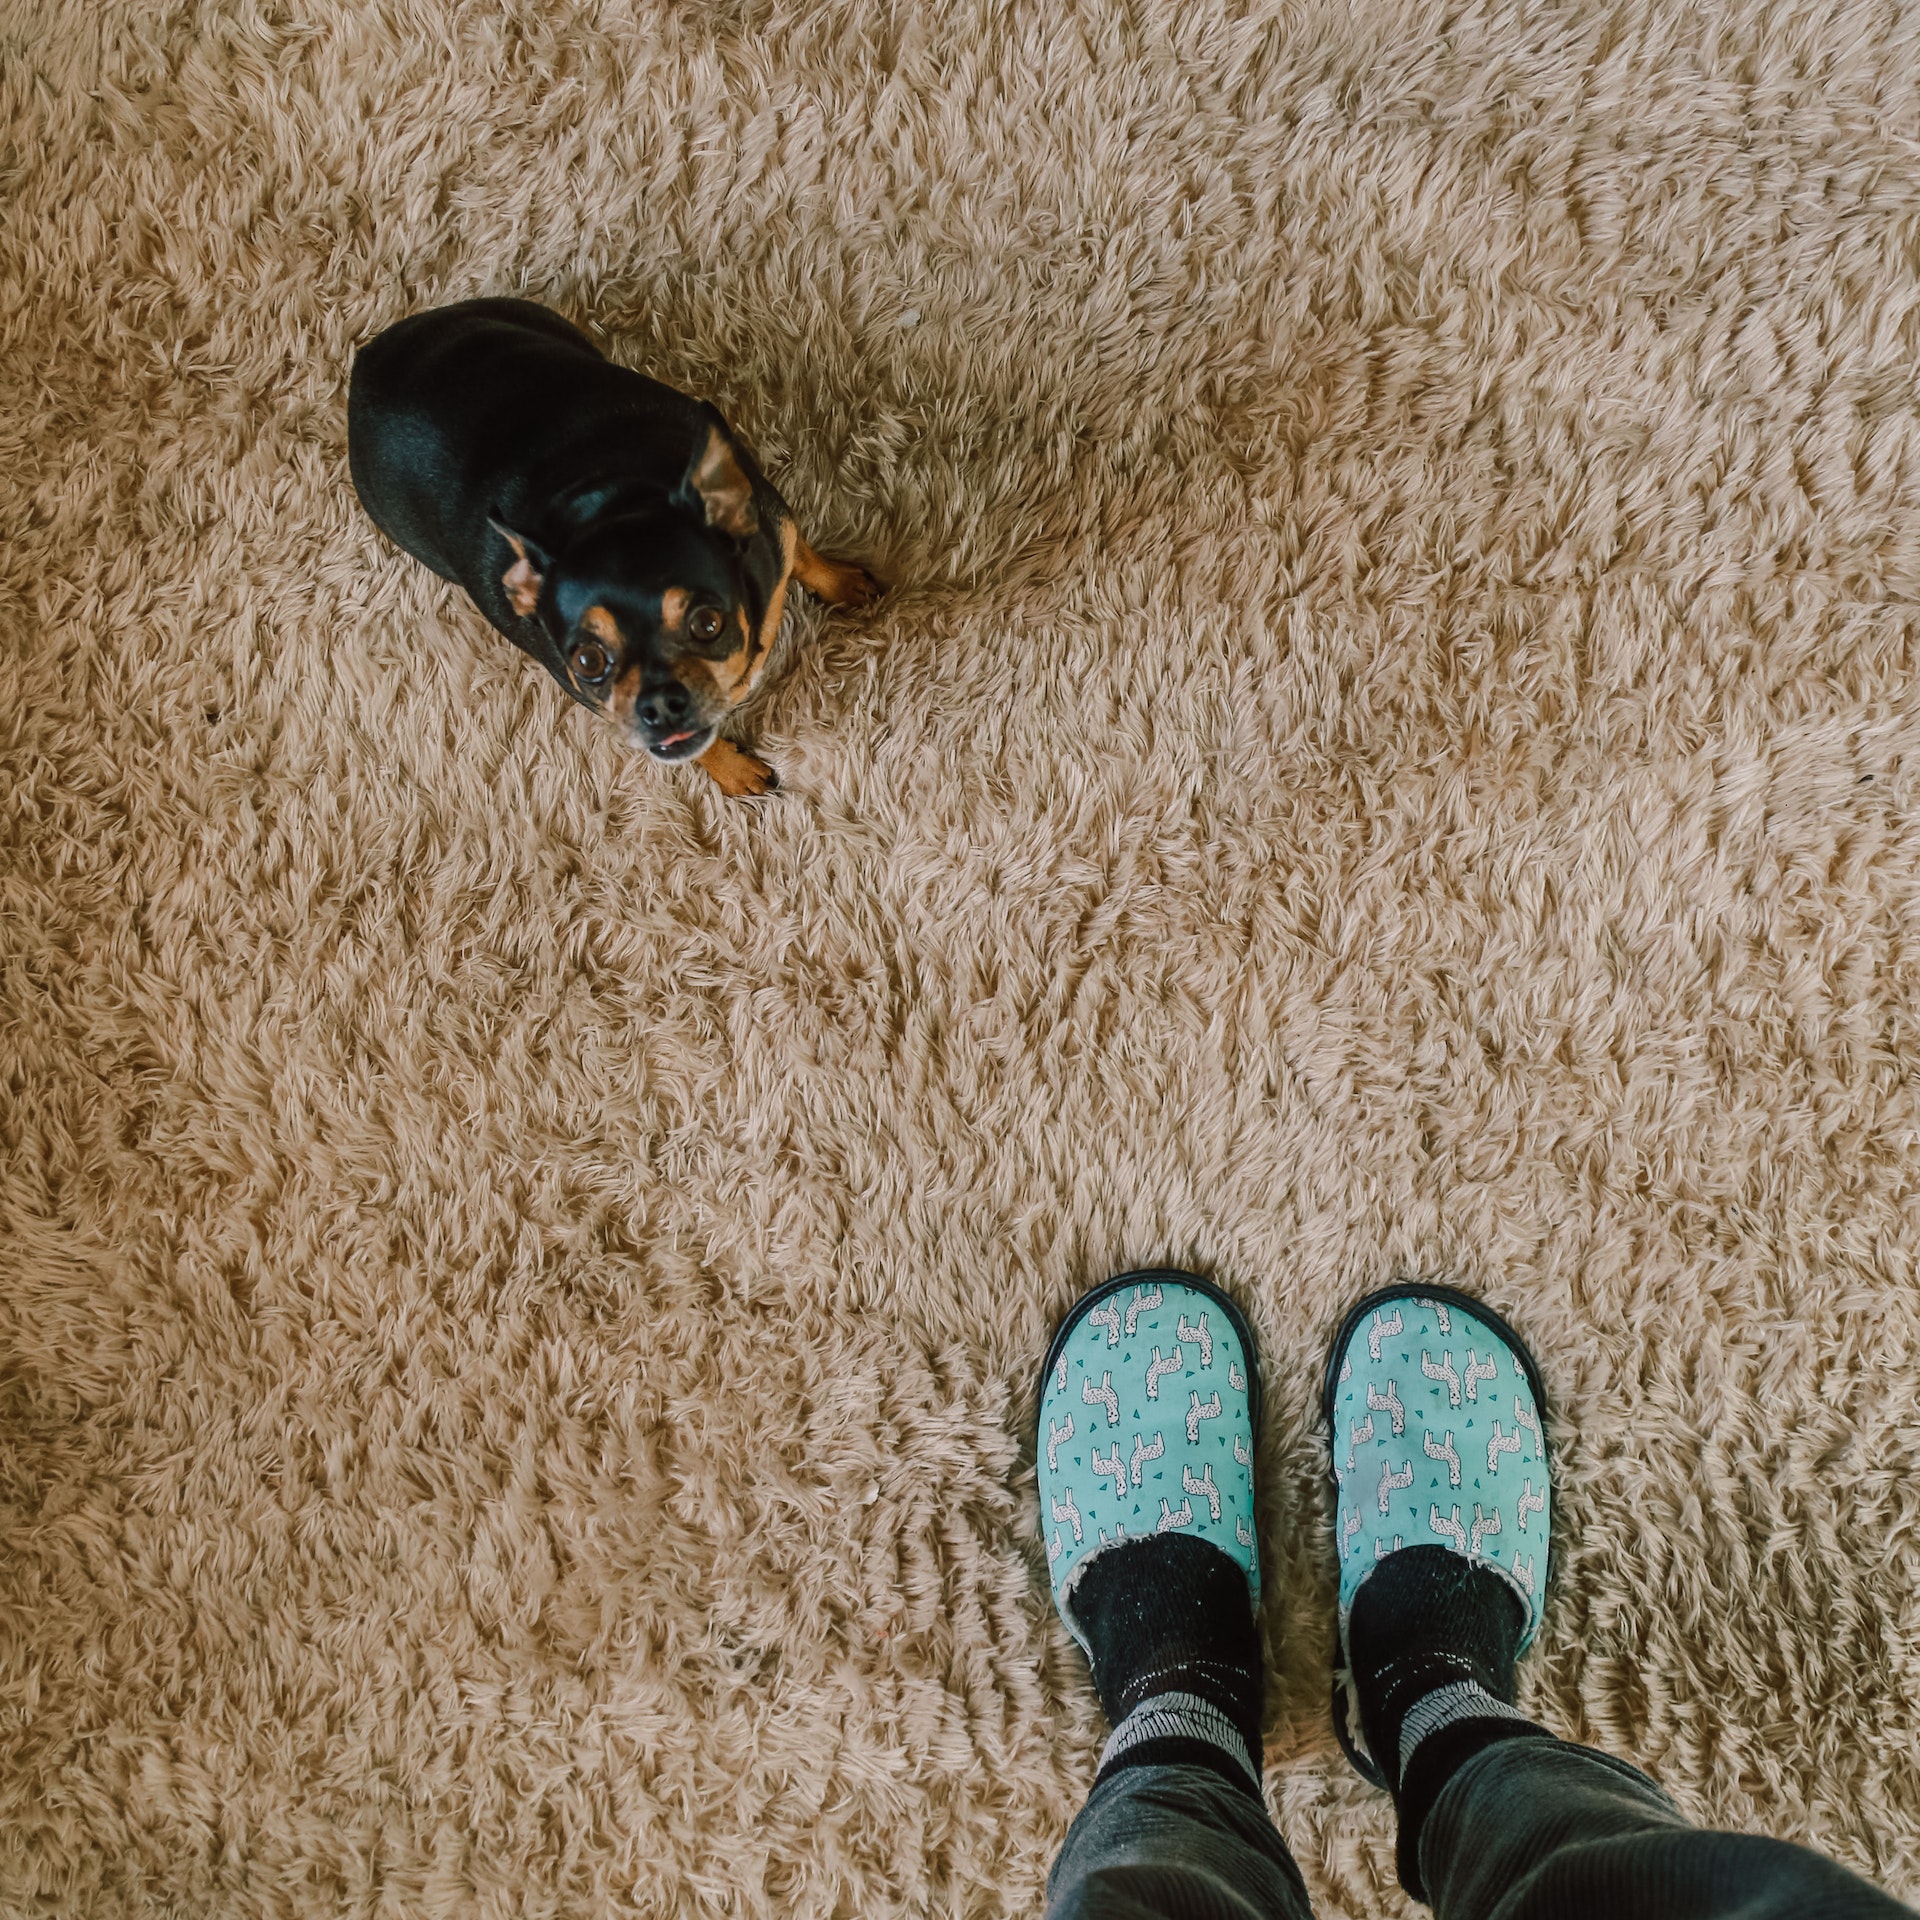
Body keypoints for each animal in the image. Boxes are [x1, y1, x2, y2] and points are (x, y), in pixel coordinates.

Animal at [347, 295, 879, 791]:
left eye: (707, 623)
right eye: (587, 662)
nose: (658, 704)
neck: (615, 501)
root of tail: (366, 360)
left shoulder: (775, 525)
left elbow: (803, 555)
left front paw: (843, 584)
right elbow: (701, 748)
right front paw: (733, 771)